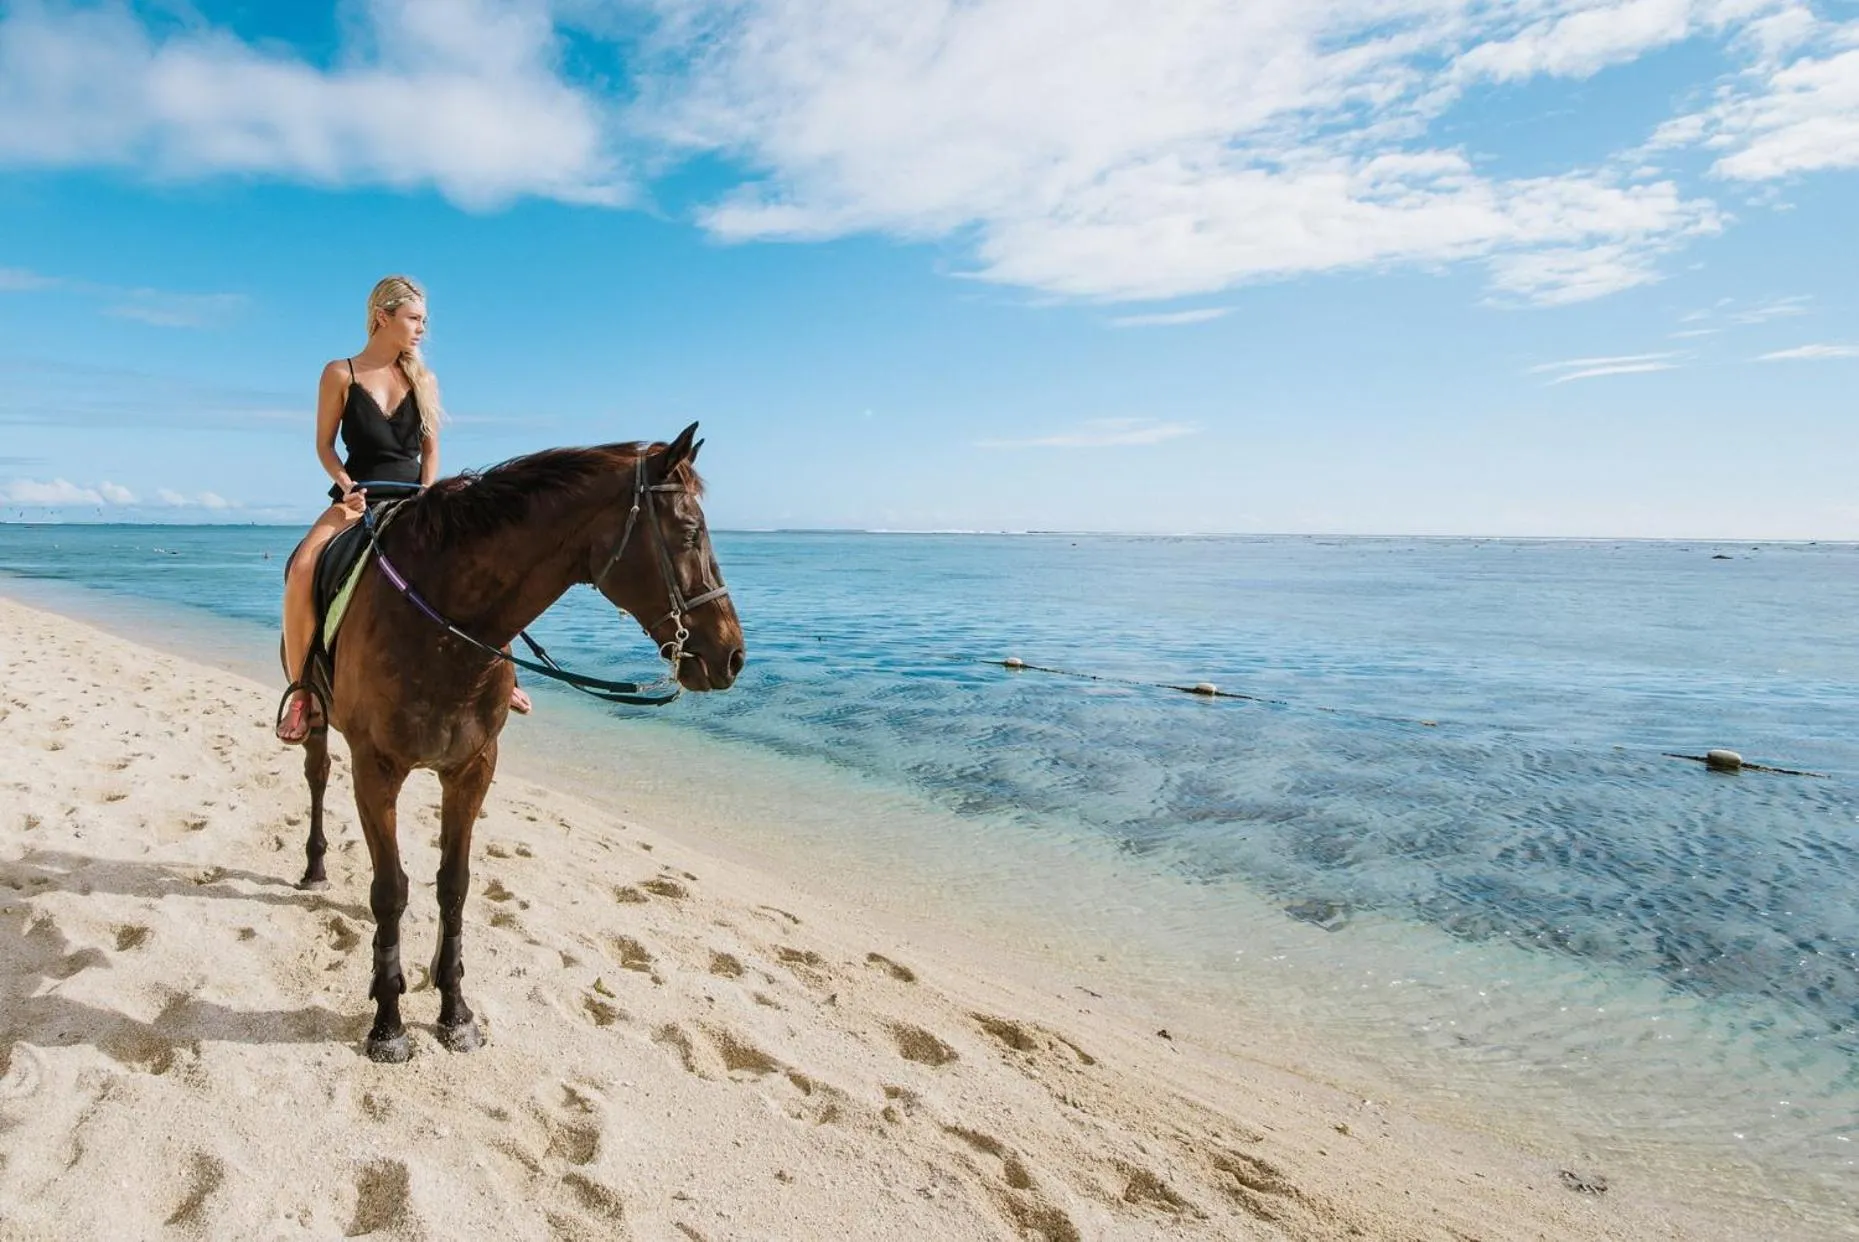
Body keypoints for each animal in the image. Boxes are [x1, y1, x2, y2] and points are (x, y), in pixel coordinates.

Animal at [290, 423, 743, 1063]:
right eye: (688, 531)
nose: (732, 655)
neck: (443, 627)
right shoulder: (375, 770)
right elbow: (390, 890)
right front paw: (388, 1022)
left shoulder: (473, 768)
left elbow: (453, 886)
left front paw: (454, 1011)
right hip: (318, 724)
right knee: (317, 779)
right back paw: (314, 868)